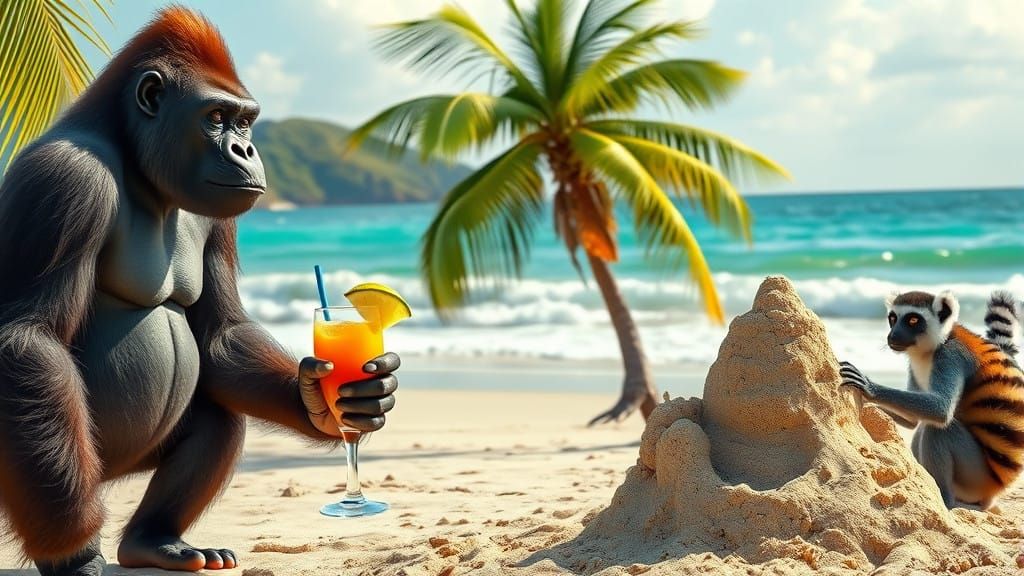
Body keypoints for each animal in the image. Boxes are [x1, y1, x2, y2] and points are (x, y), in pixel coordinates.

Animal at [0, 8, 399, 575]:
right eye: (215, 117)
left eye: (245, 122)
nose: (246, 149)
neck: (131, 157)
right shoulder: (64, 180)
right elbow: (29, 338)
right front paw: (73, 548)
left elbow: (219, 337)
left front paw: (323, 404)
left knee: (219, 415)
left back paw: (154, 539)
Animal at [840, 290, 1024, 510]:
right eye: (892, 318)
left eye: (912, 320)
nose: (892, 336)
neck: (932, 348)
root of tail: (993, 494)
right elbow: (913, 421)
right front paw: (870, 406)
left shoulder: (951, 356)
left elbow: (941, 410)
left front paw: (870, 388)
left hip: (977, 479)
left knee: (938, 430)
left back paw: (944, 500)